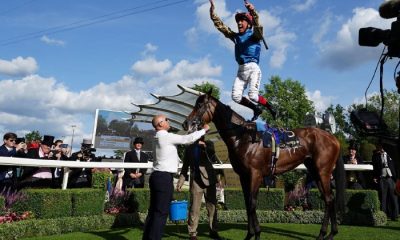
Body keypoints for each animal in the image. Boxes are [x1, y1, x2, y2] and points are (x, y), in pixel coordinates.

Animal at [183, 93, 346, 240]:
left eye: (199, 105)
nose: (186, 123)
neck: (243, 137)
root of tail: (333, 138)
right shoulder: (243, 176)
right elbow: (247, 203)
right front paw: (249, 235)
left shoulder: (256, 175)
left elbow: (252, 203)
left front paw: (257, 234)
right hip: (315, 172)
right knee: (329, 198)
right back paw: (330, 233)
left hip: (323, 172)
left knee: (329, 199)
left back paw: (325, 234)